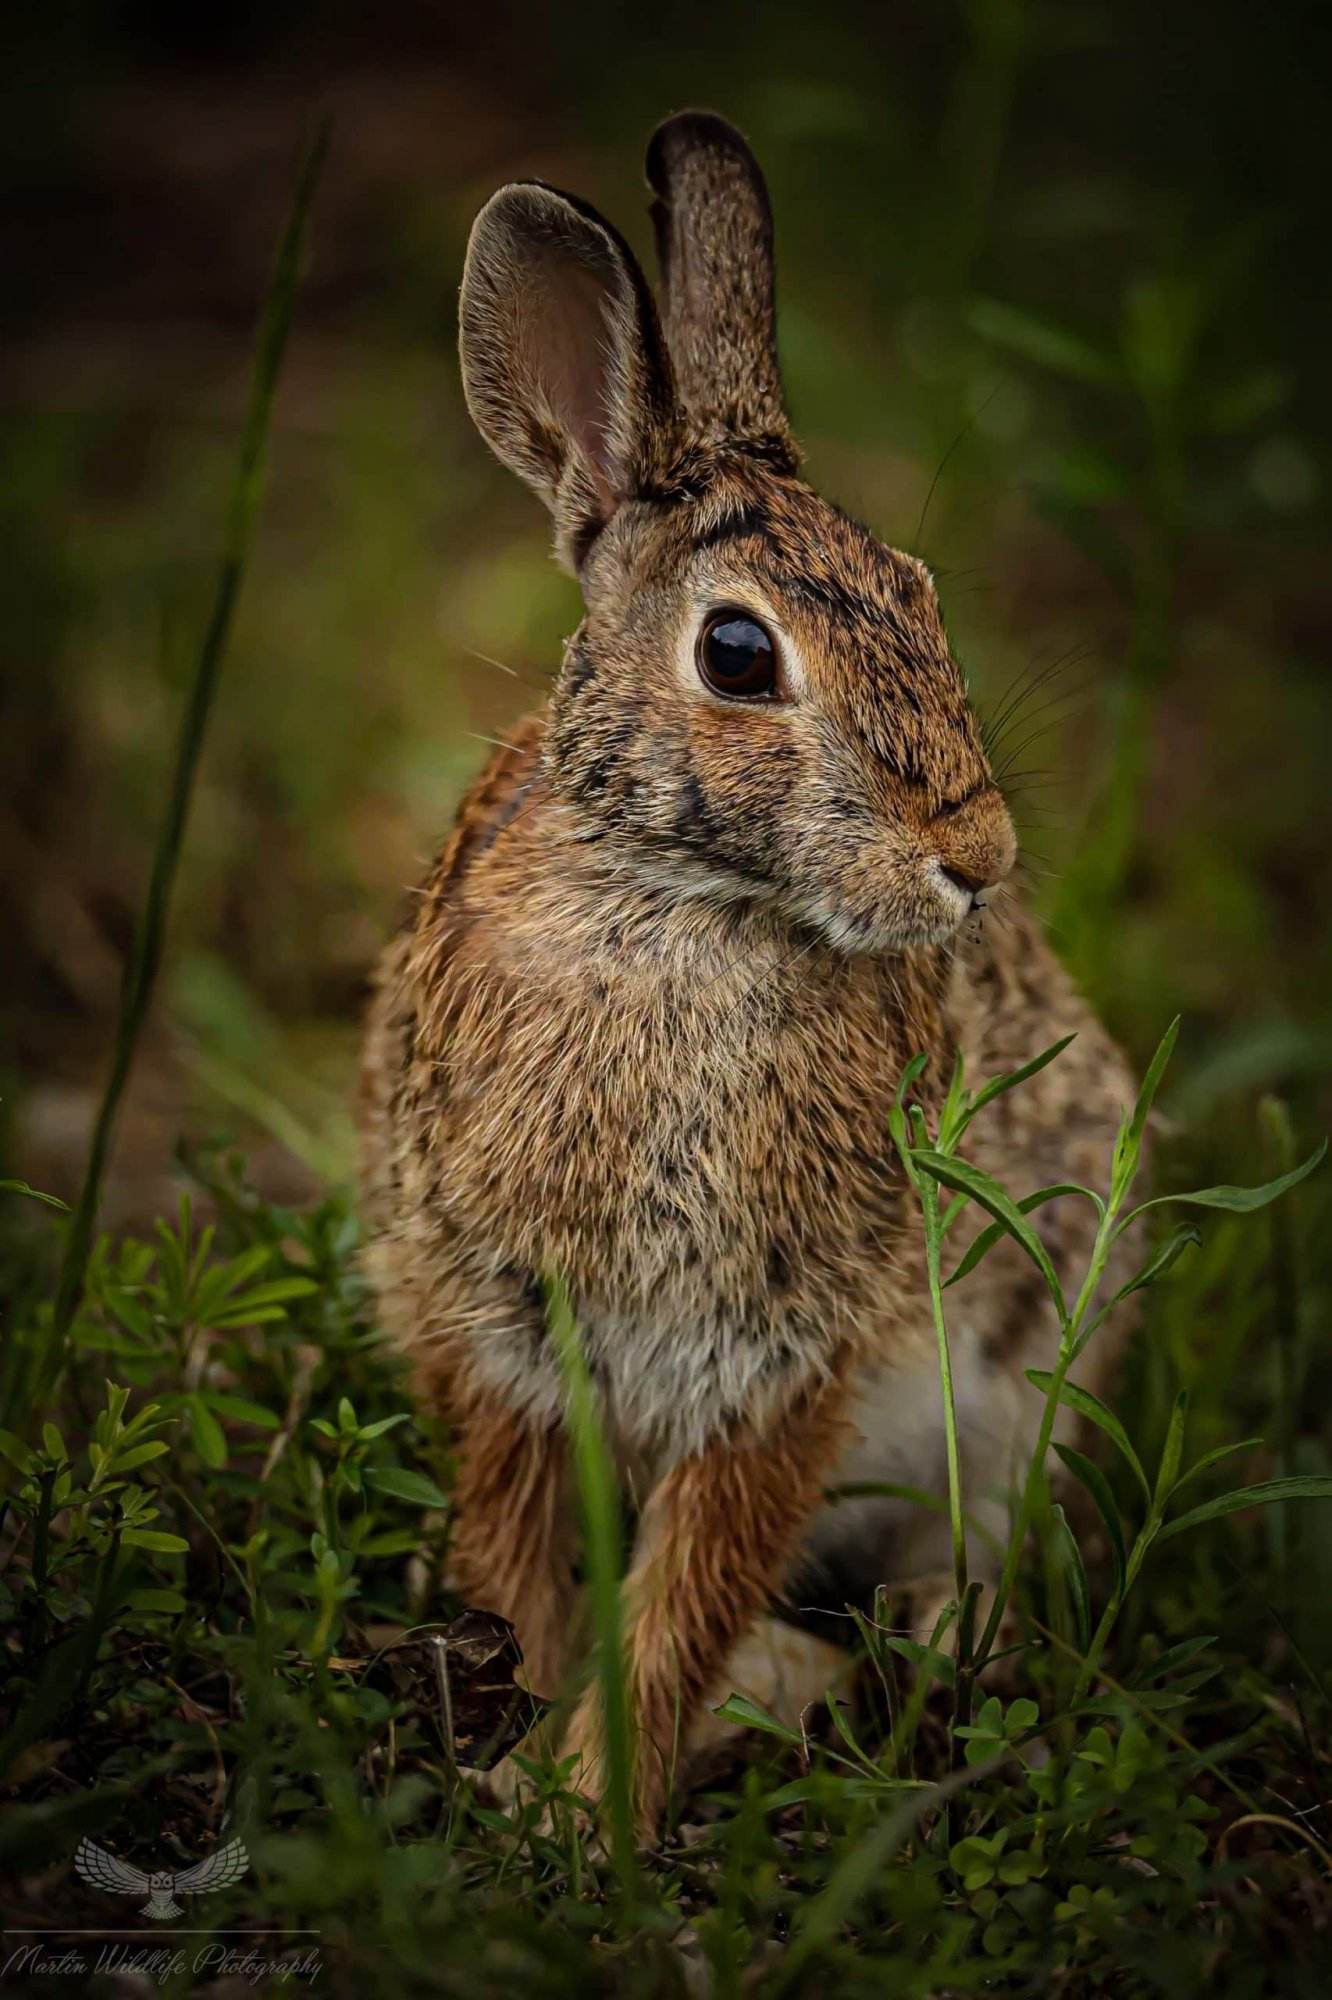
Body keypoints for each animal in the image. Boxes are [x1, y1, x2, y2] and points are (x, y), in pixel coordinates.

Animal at [359, 110, 1140, 1836]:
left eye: (922, 592)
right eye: (736, 655)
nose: (977, 855)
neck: (689, 907)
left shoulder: (787, 1360)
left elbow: (684, 1604)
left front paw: (585, 1808)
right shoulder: (501, 1332)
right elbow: (531, 1564)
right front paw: (542, 1770)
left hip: (1041, 1337)